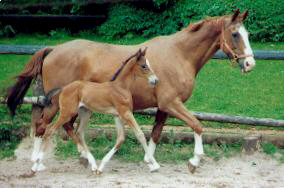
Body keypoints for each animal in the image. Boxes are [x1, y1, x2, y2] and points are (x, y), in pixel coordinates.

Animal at [32, 48, 160, 175]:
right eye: (144, 66)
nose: (155, 80)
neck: (120, 87)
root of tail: (63, 88)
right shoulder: (126, 113)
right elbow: (140, 135)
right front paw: (154, 165)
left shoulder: (118, 115)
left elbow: (121, 138)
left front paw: (101, 167)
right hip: (67, 113)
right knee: (49, 130)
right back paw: (36, 164)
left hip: (85, 112)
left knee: (78, 133)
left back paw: (93, 164)